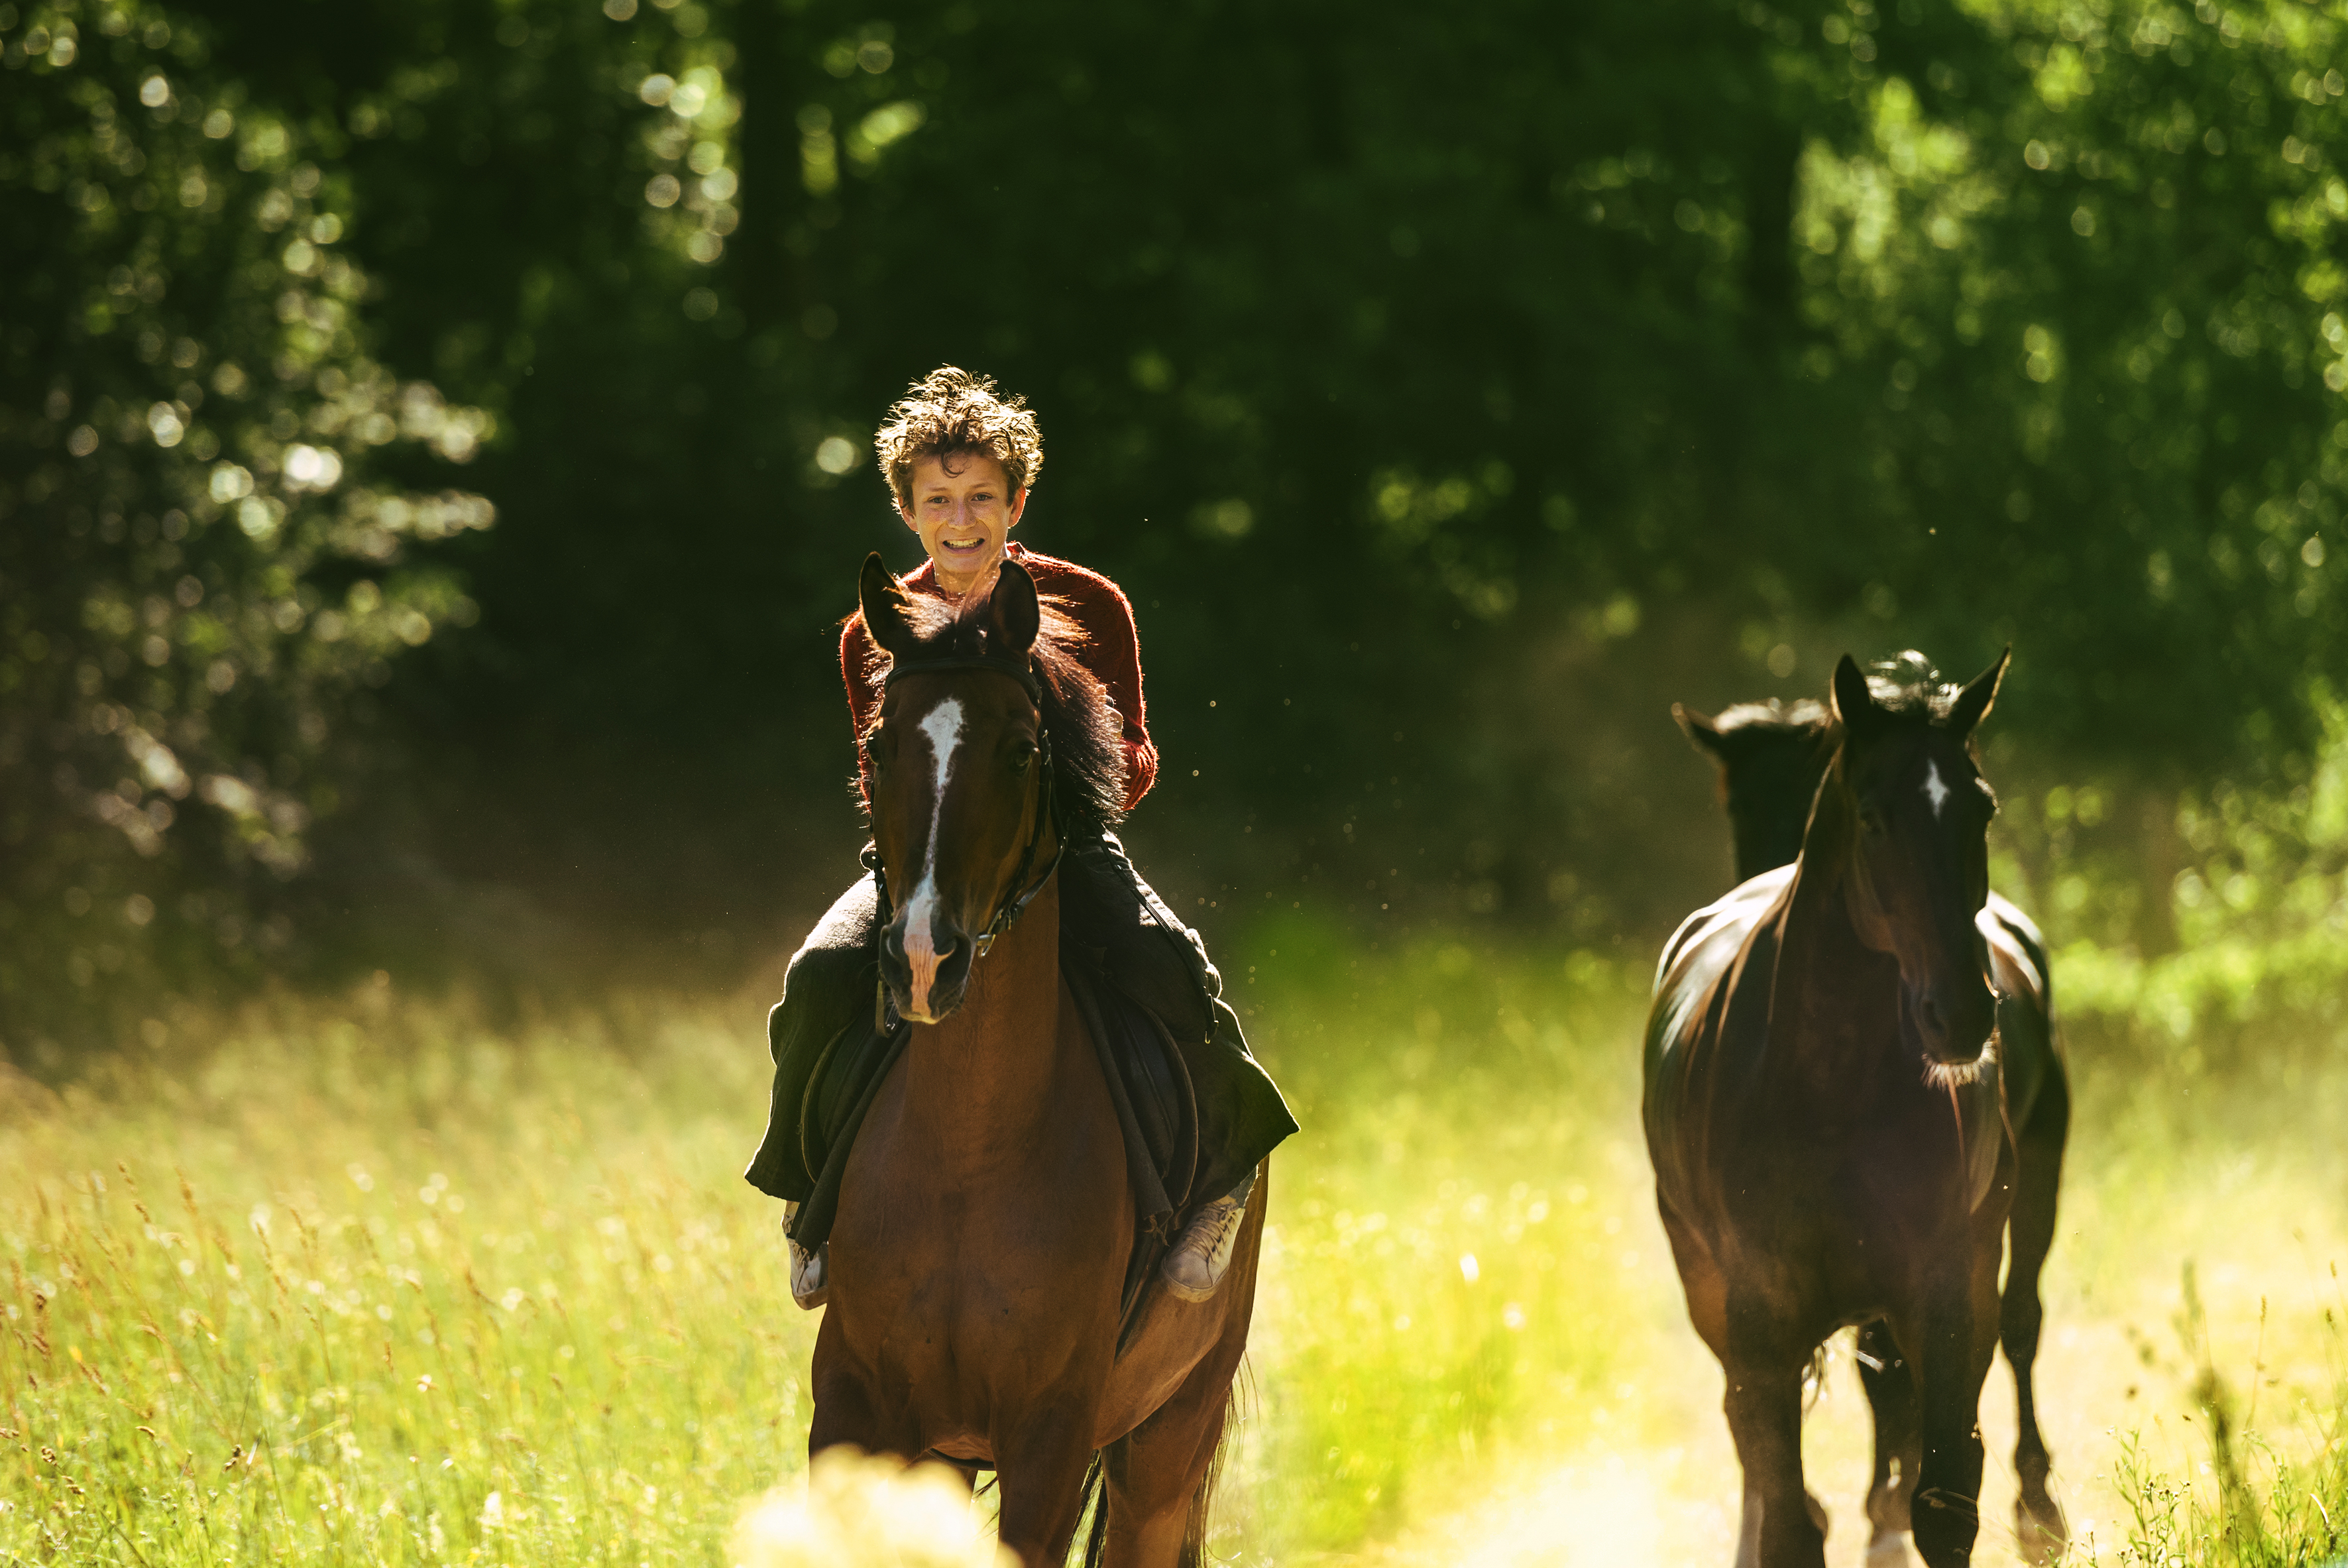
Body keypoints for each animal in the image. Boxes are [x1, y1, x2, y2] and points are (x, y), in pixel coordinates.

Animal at [807, 556, 1268, 1568]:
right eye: (877, 747)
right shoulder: (856, 1413)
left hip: (1168, 1438)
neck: (967, 1157)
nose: (923, 957)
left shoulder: (1049, 1440)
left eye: (1022, 751)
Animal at [1644, 652, 2029, 1568]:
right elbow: (1787, 1514)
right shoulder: (1759, 1321)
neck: (1827, 1090)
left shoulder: (1949, 1297)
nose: (1963, 1012)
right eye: (1873, 817)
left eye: (1982, 808)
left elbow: (1945, 1501)